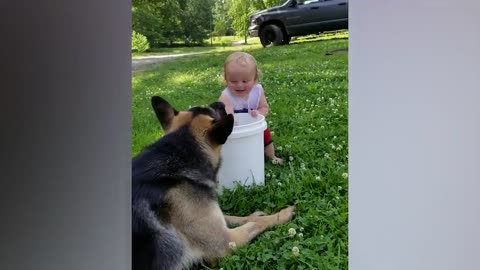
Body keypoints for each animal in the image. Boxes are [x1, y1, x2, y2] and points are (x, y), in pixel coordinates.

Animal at [133, 97, 294, 270]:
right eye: (215, 111)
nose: (220, 103)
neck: (179, 150)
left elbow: (235, 217)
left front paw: (254, 215)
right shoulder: (226, 241)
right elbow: (256, 224)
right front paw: (283, 214)